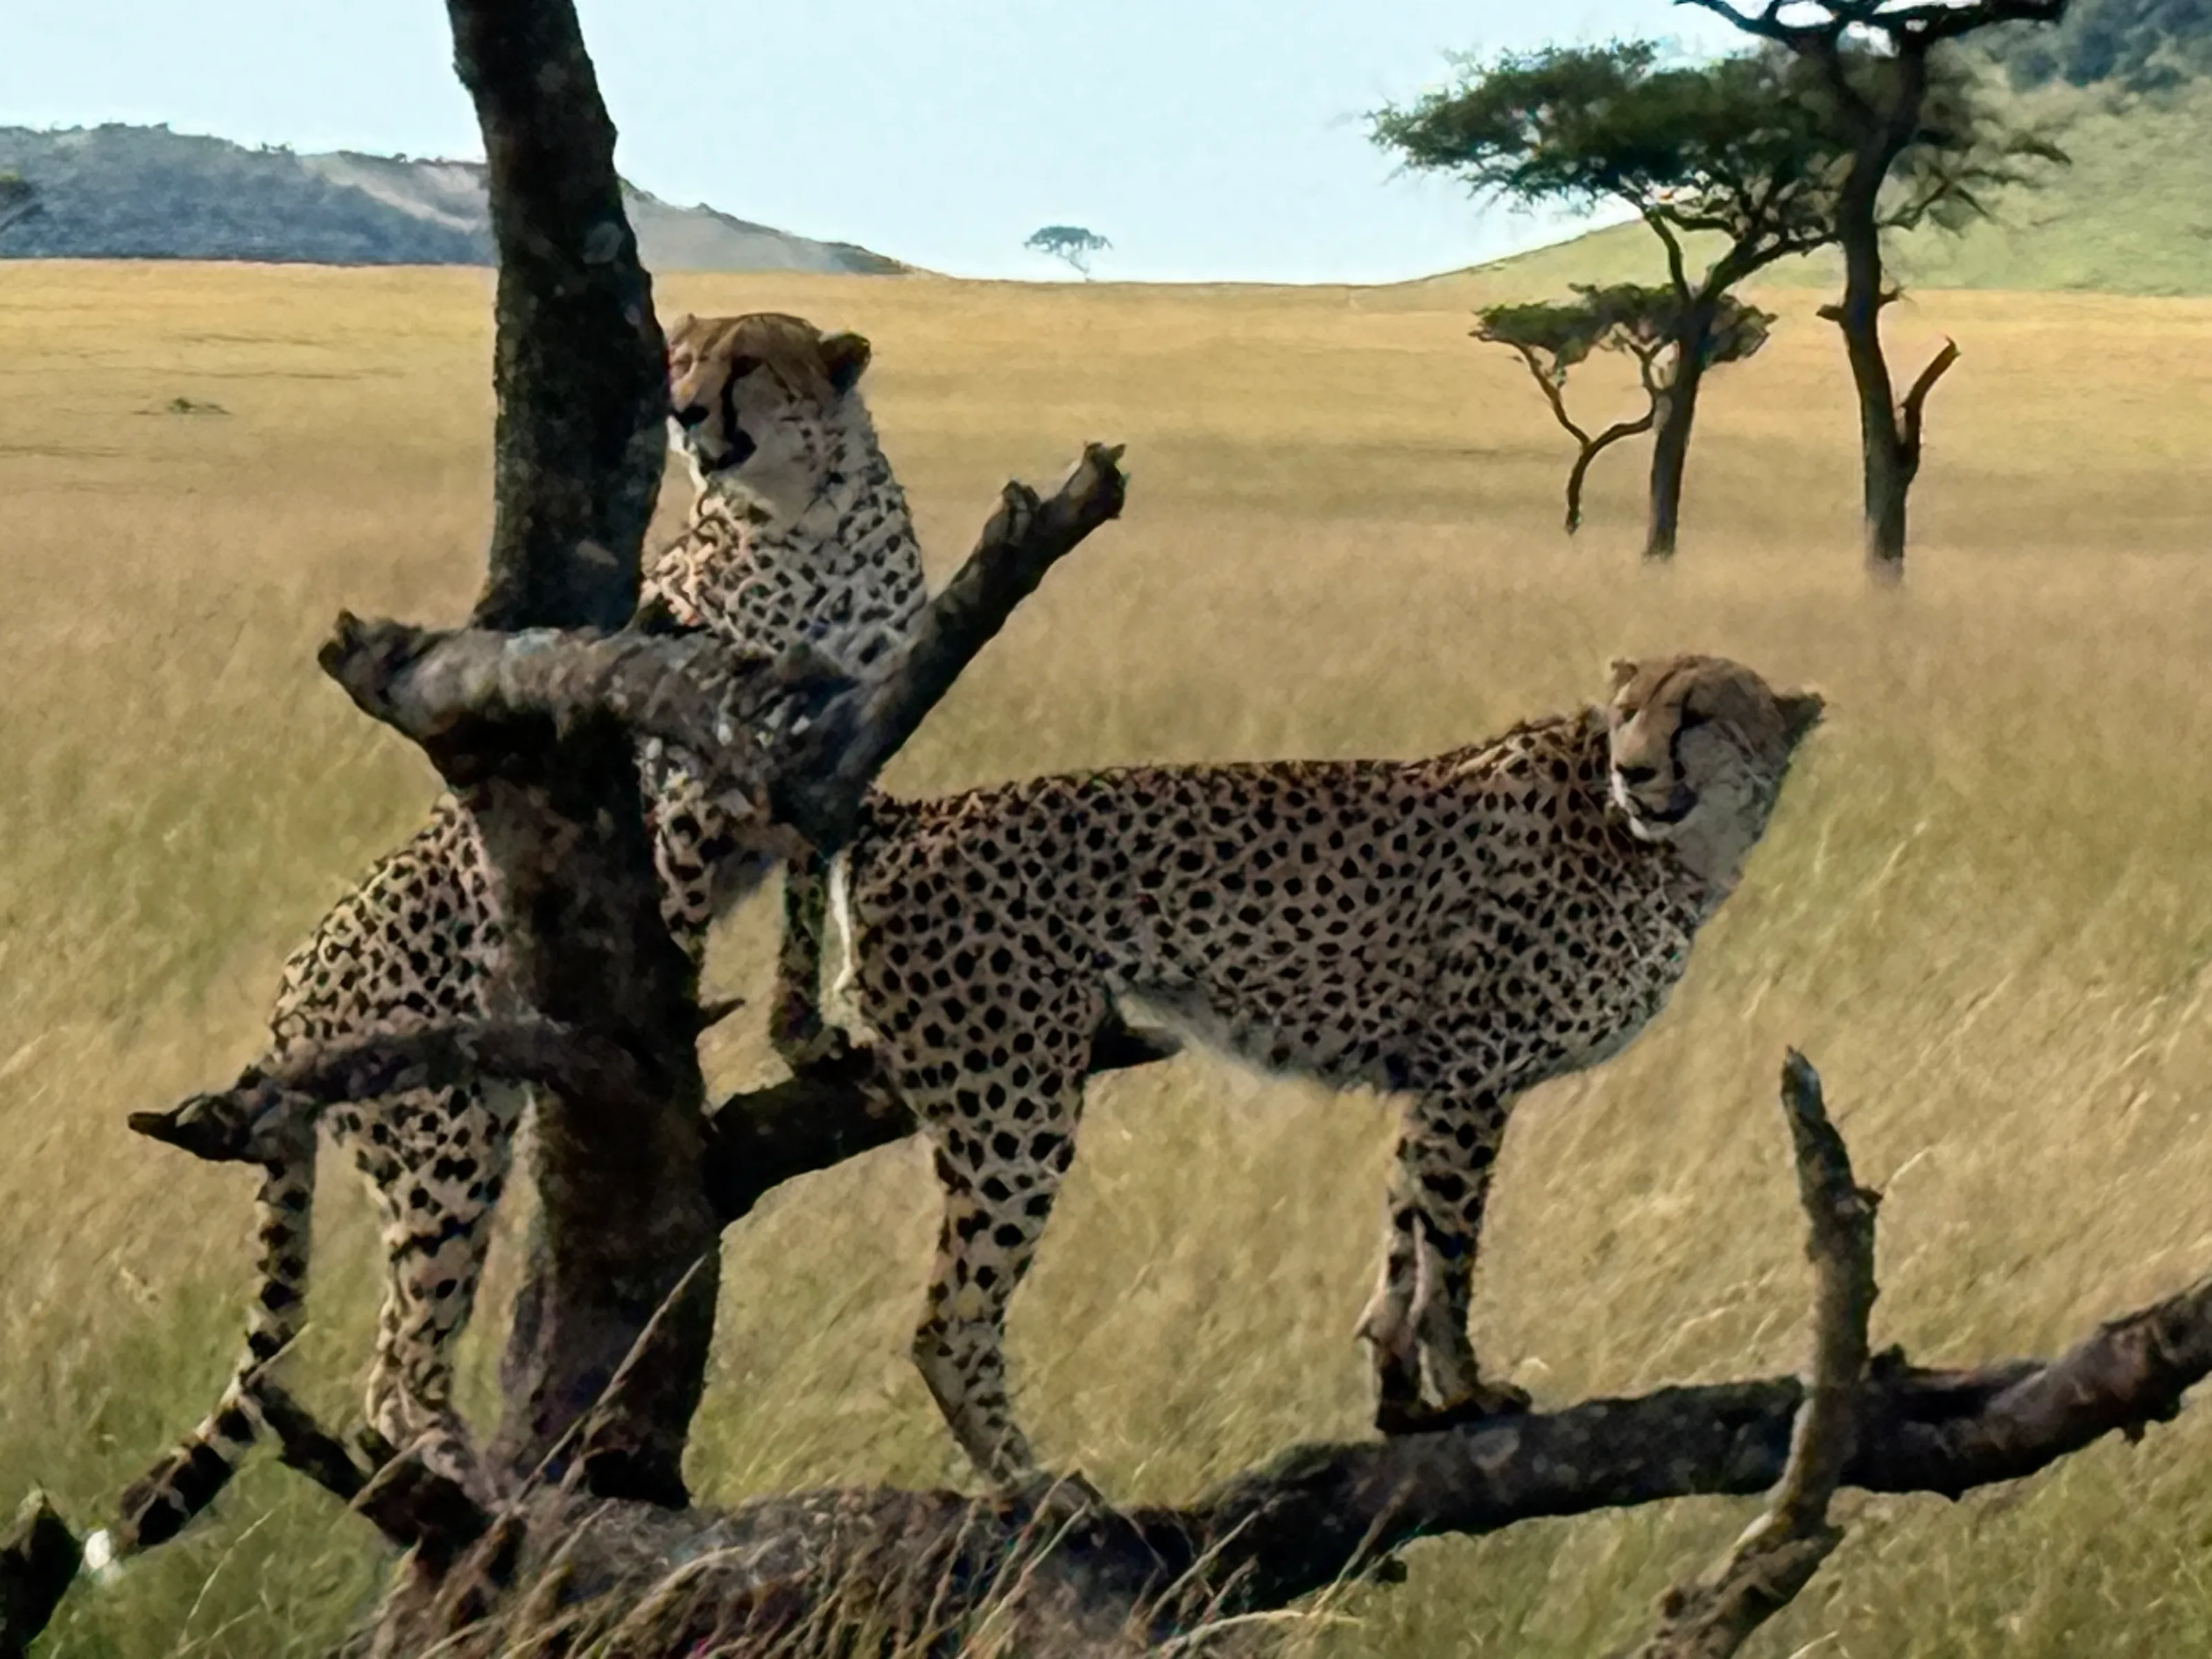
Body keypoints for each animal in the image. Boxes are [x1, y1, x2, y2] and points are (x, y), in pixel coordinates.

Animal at [111, 311, 929, 1553]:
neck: (810, 517)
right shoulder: (685, 787)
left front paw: (808, 1036)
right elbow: (671, 942)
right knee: (394, 1363)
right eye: (679, 359)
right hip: (443, 1138)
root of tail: (293, 987)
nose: (684, 410)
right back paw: (467, 1480)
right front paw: (674, 1068)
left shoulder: (826, 774)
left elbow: (806, 918)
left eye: (745, 364)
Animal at [823, 653, 1823, 1486]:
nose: (1636, 770)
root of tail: (917, 814)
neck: (1654, 845)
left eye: (1695, 714)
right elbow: (1449, 1262)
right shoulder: (1474, 1077)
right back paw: (1033, 1487)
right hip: (1012, 1108)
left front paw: (1404, 1404)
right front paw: (1467, 1393)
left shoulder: (1436, 1085)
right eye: (1626, 713)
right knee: (948, 1325)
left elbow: (1402, 1244)